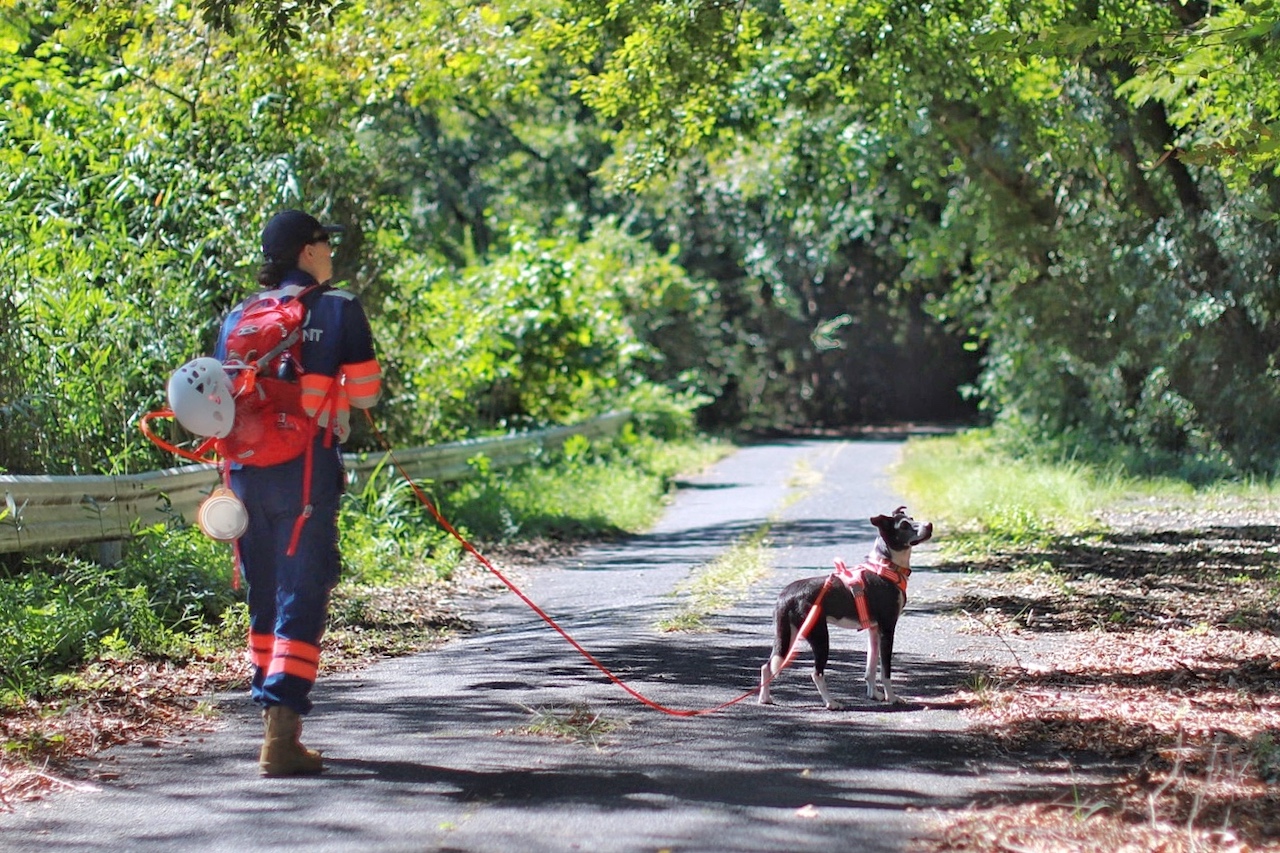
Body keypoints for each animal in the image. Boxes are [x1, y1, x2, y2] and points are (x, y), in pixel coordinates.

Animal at [752, 504, 936, 701]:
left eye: (912, 518)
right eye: (903, 526)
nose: (930, 525)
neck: (886, 567)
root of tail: (785, 596)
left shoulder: (874, 630)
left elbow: (870, 668)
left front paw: (874, 694)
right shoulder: (887, 629)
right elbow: (885, 671)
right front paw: (892, 698)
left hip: (787, 635)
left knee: (767, 666)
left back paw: (765, 698)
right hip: (819, 636)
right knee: (816, 673)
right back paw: (831, 702)